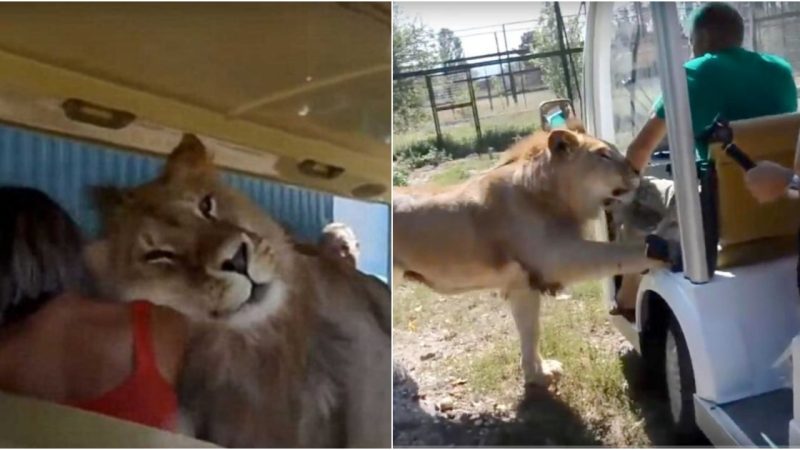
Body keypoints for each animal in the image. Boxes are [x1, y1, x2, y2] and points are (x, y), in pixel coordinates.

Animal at [396, 123, 668, 386]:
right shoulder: (556, 258)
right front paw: (662, 248)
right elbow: (617, 254)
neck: (556, 195)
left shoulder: (522, 284)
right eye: (603, 154)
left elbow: (530, 330)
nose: (636, 171)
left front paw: (537, 373)